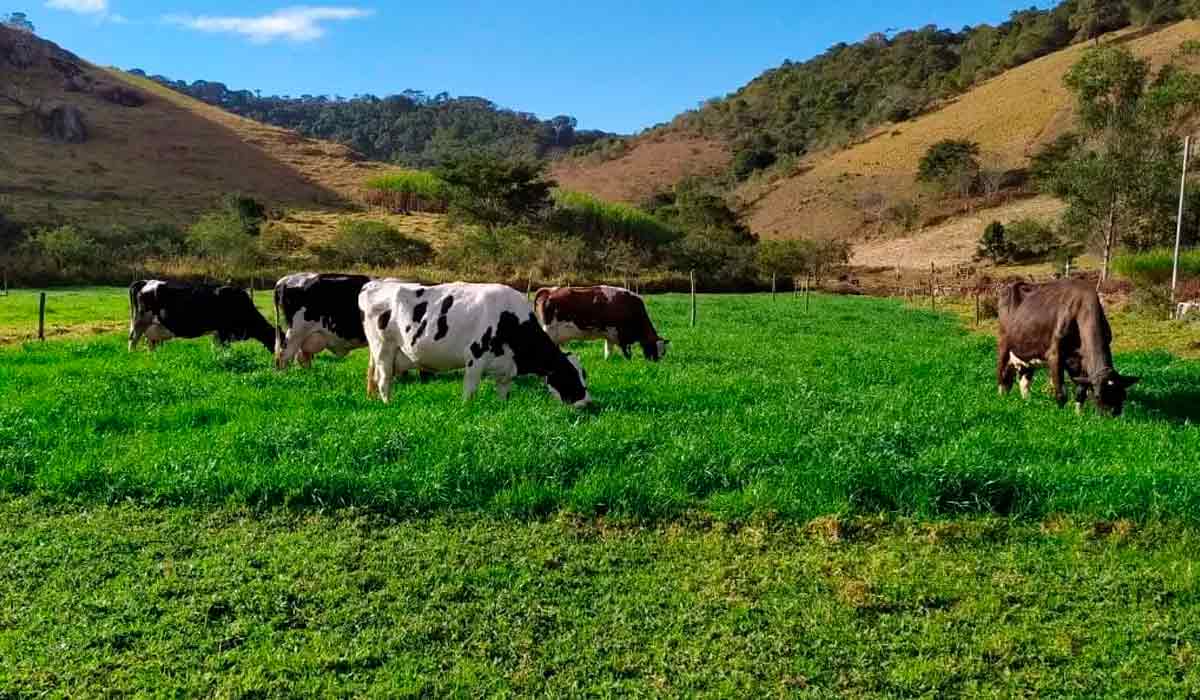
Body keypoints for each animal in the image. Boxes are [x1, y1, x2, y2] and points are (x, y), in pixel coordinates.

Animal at [127, 279, 274, 353]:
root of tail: (144, 281)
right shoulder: (224, 331)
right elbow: (224, 350)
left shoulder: (218, 333)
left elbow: (216, 349)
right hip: (140, 320)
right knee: (132, 340)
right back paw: (132, 356)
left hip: (151, 327)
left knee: (149, 343)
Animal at [360, 282, 595, 408]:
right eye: (569, 375)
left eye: (584, 374)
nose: (587, 404)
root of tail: (375, 284)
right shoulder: (475, 359)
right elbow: (470, 393)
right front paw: (467, 411)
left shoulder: (505, 370)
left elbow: (504, 395)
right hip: (383, 350)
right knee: (384, 381)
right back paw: (388, 405)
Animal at [532, 284, 672, 362]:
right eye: (653, 348)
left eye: (664, 352)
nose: (656, 363)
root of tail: (550, 290)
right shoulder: (621, 335)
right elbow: (627, 353)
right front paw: (629, 362)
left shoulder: (610, 335)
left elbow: (608, 350)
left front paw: (607, 361)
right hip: (550, 331)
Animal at [993, 278, 1142, 413]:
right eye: (1098, 395)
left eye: (1123, 395)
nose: (1113, 415)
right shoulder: (1054, 355)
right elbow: (1061, 392)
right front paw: (1062, 415)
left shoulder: (1083, 361)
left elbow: (1081, 391)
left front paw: (1078, 415)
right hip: (1003, 346)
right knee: (1002, 376)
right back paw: (1002, 400)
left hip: (1026, 353)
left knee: (1023, 380)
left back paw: (1026, 402)